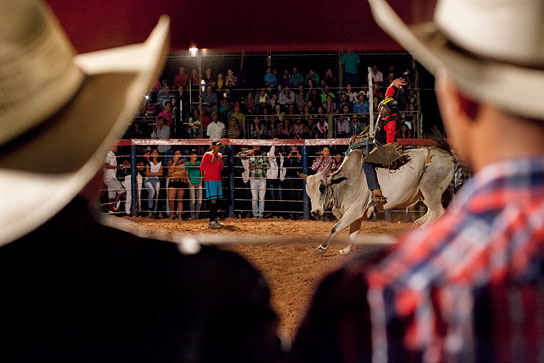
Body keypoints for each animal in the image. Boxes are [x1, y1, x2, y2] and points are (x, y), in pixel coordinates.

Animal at [300, 147, 456, 253]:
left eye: (321, 188)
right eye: (308, 192)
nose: (315, 212)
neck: (344, 182)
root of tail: (448, 157)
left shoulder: (354, 211)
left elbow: (335, 228)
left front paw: (322, 247)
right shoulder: (357, 215)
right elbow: (353, 233)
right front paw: (346, 250)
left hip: (431, 190)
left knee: (439, 212)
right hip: (425, 194)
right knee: (432, 212)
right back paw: (418, 225)